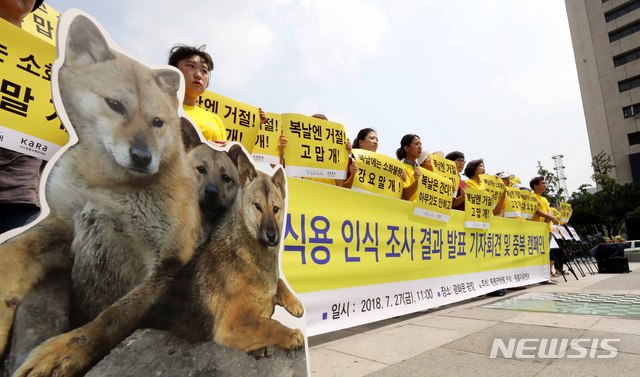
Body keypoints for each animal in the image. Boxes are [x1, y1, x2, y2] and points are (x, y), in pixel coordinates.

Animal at [0, 13, 201, 374]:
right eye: (115, 105)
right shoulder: (63, 225)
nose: (142, 157)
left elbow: (109, 319)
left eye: (158, 122)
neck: (113, 186)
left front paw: (61, 354)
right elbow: (12, 254)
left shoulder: (166, 266)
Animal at [164, 145, 306, 352]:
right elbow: (268, 325)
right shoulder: (228, 326)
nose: (273, 236)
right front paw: (290, 334)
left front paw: (294, 302)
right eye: (257, 206)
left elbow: (279, 282)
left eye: (276, 209)